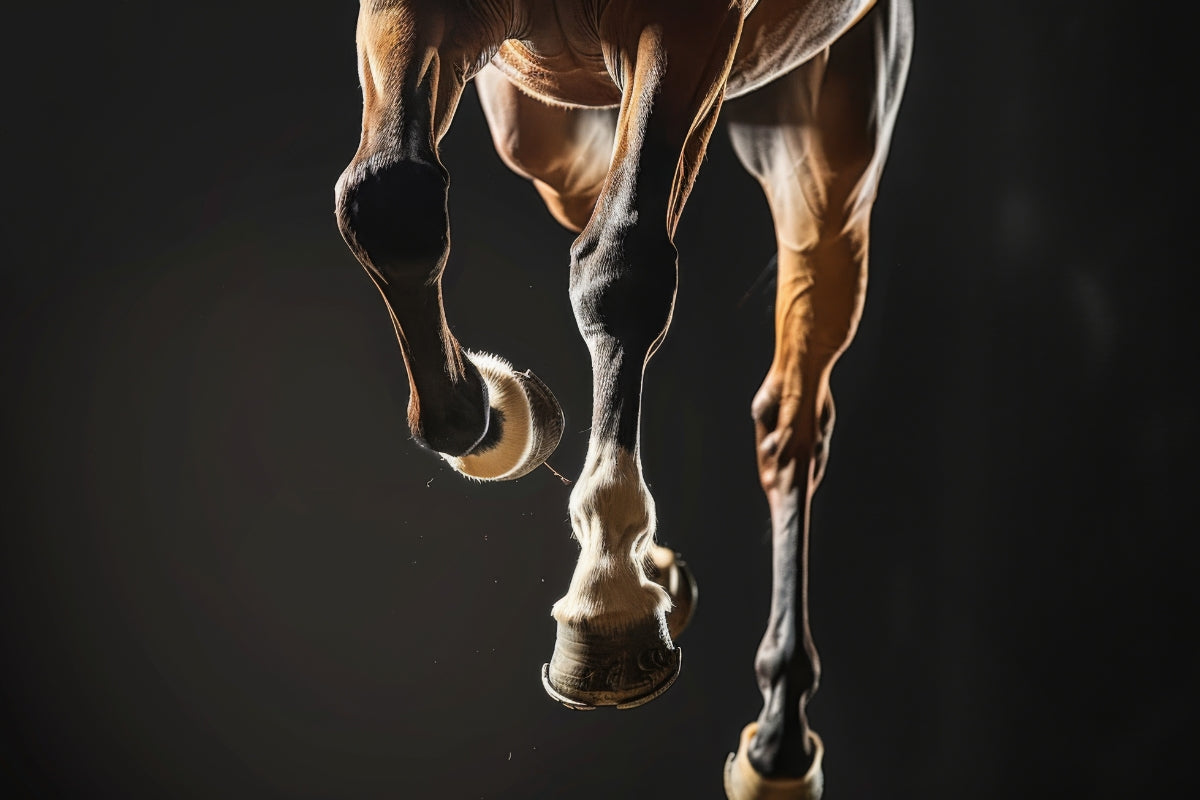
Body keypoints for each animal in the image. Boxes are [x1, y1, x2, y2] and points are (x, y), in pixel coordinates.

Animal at [334, 0, 913, 796]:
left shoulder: (691, 29)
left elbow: (621, 263)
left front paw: (608, 593)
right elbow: (391, 200)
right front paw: (501, 418)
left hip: (828, 151)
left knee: (790, 416)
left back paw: (779, 736)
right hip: (541, 122)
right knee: (586, 197)